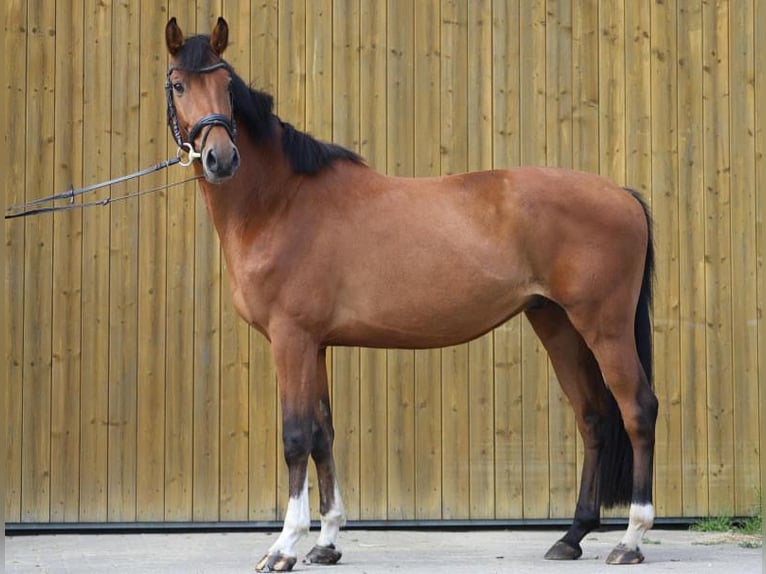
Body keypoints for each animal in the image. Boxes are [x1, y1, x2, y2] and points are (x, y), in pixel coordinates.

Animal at [164, 16, 658, 572]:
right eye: (178, 84)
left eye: (227, 85)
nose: (220, 158)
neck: (280, 202)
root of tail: (623, 196)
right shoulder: (316, 345)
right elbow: (322, 434)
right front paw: (327, 542)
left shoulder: (291, 340)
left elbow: (295, 438)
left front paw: (284, 547)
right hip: (557, 324)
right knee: (593, 418)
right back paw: (571, 536)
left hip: (604, 326)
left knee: (637, 410)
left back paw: (630, 539)